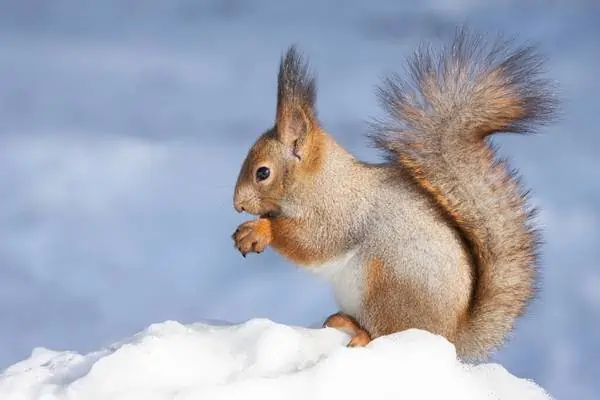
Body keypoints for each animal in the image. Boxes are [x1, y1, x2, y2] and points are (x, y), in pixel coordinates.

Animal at [231, 28, 556, 360]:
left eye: (262, 173)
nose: (237, 204)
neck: (322, 179)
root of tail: (450, 336)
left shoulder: (339, 212)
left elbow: (312, 241)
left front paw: (260, 230)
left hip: (388, 282)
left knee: (384, 332)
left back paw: (357, 330)